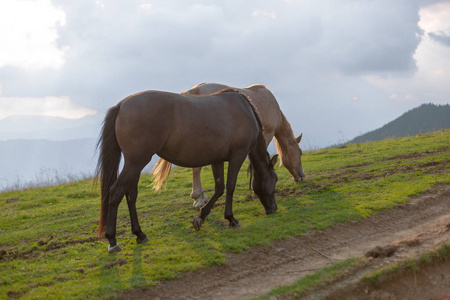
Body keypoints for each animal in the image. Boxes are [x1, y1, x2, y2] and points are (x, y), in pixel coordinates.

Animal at [95, 88, 278, 252]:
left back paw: (140, 234)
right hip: (135, 163)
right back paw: (112, 240)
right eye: (275, 179)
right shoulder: (238, 156)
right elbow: (230, 187)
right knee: (116, 192)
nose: (273, 209)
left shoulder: (217, 160)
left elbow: (219, 188)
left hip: (135, 164)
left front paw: (200, 217)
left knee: (131, 195)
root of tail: (121, 105)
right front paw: (231, 219)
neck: (245, 110)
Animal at [153, 82, 304, 209]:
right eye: (300, 153)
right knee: (196, 169)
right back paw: (198, 198)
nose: (301, 176)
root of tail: (192, 91)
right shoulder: (266, 134)